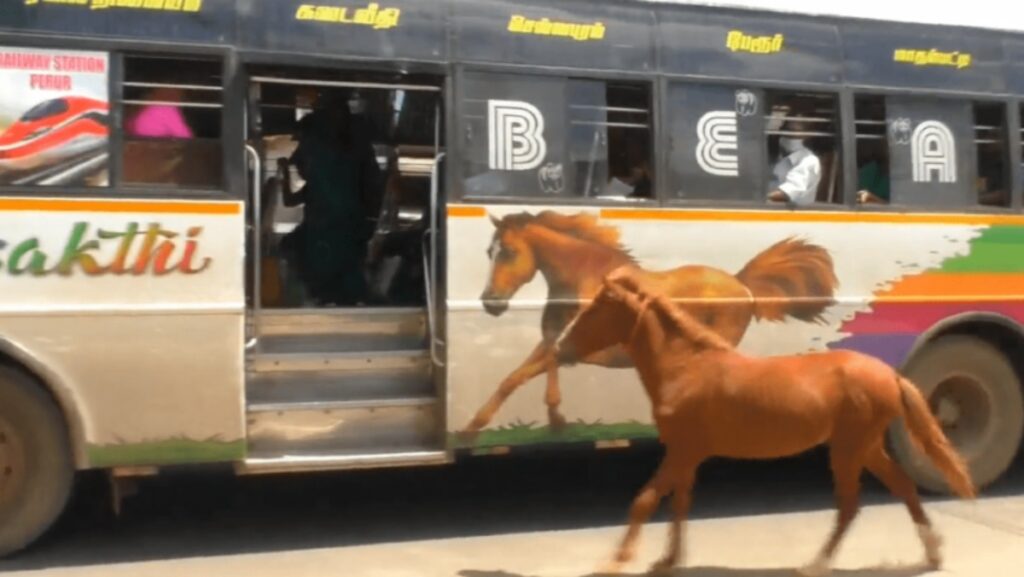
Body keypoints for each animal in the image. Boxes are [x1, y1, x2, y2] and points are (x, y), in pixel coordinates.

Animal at [460, 210, 835, 440]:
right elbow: (513, 378)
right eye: (488, 252)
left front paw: (556, 419)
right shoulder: (554, 341)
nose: (491, 303)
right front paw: (471, 429)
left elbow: (546, 364)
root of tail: (740, 282)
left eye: (508, 252)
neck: (585, 283)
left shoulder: (589, 348)